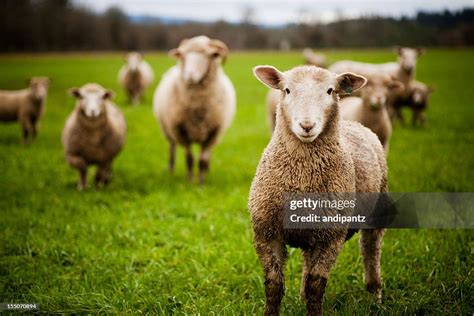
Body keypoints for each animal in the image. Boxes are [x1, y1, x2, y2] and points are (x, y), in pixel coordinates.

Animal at [153, 35, 236, 184]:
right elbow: (190, 158)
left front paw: (201, 182)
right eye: (183, 55)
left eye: (208, 55)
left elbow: (202, 160)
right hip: (167, 130)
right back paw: (170, 170)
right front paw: (190, 181)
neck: (198, 106)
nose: (189, 76)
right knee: (172, 148)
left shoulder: (213, 132)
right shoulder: (181, 131)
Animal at [250, 65, 386, 316]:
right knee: (307, 260)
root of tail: (355, 124)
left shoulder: (331, 238)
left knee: (371, 251)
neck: (302, 177)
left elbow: (316, 285)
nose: (306, 126)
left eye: (330, 90)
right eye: (287, 90)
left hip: (377, 210)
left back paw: (375, 296)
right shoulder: (266, 233)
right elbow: (273, 285)